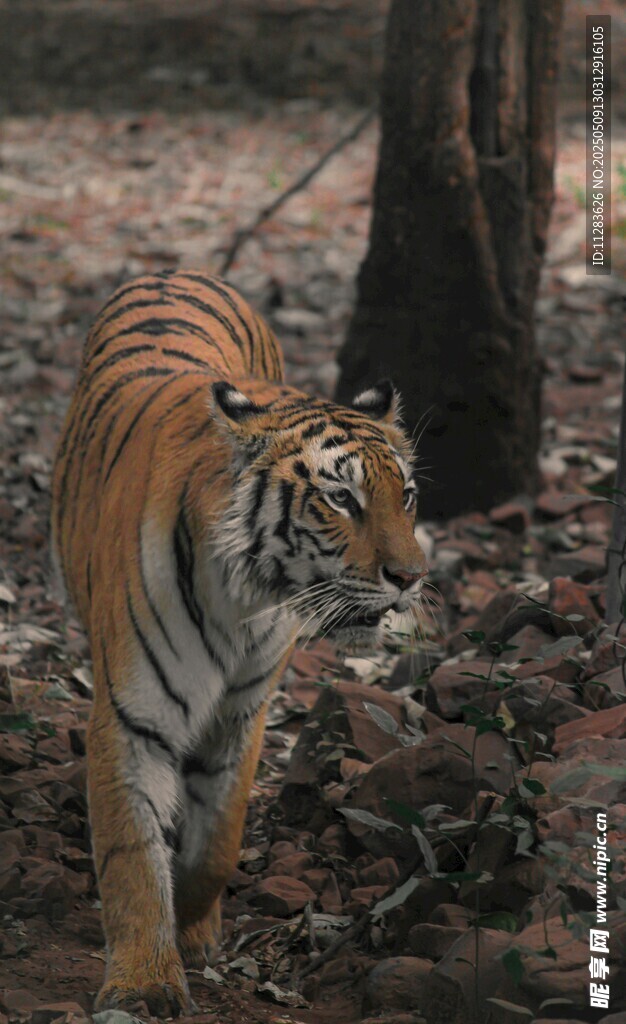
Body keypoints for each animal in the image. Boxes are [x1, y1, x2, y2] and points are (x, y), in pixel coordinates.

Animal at [50, 269, 429, 1016]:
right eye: (341, 499)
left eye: (406, 495)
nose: (410, 578)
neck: (247, 598)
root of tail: (177, 270)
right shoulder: (132, 717)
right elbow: (132, 855)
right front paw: (144, 983)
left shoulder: (241, 712)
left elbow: (218, 841)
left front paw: (196, 928)